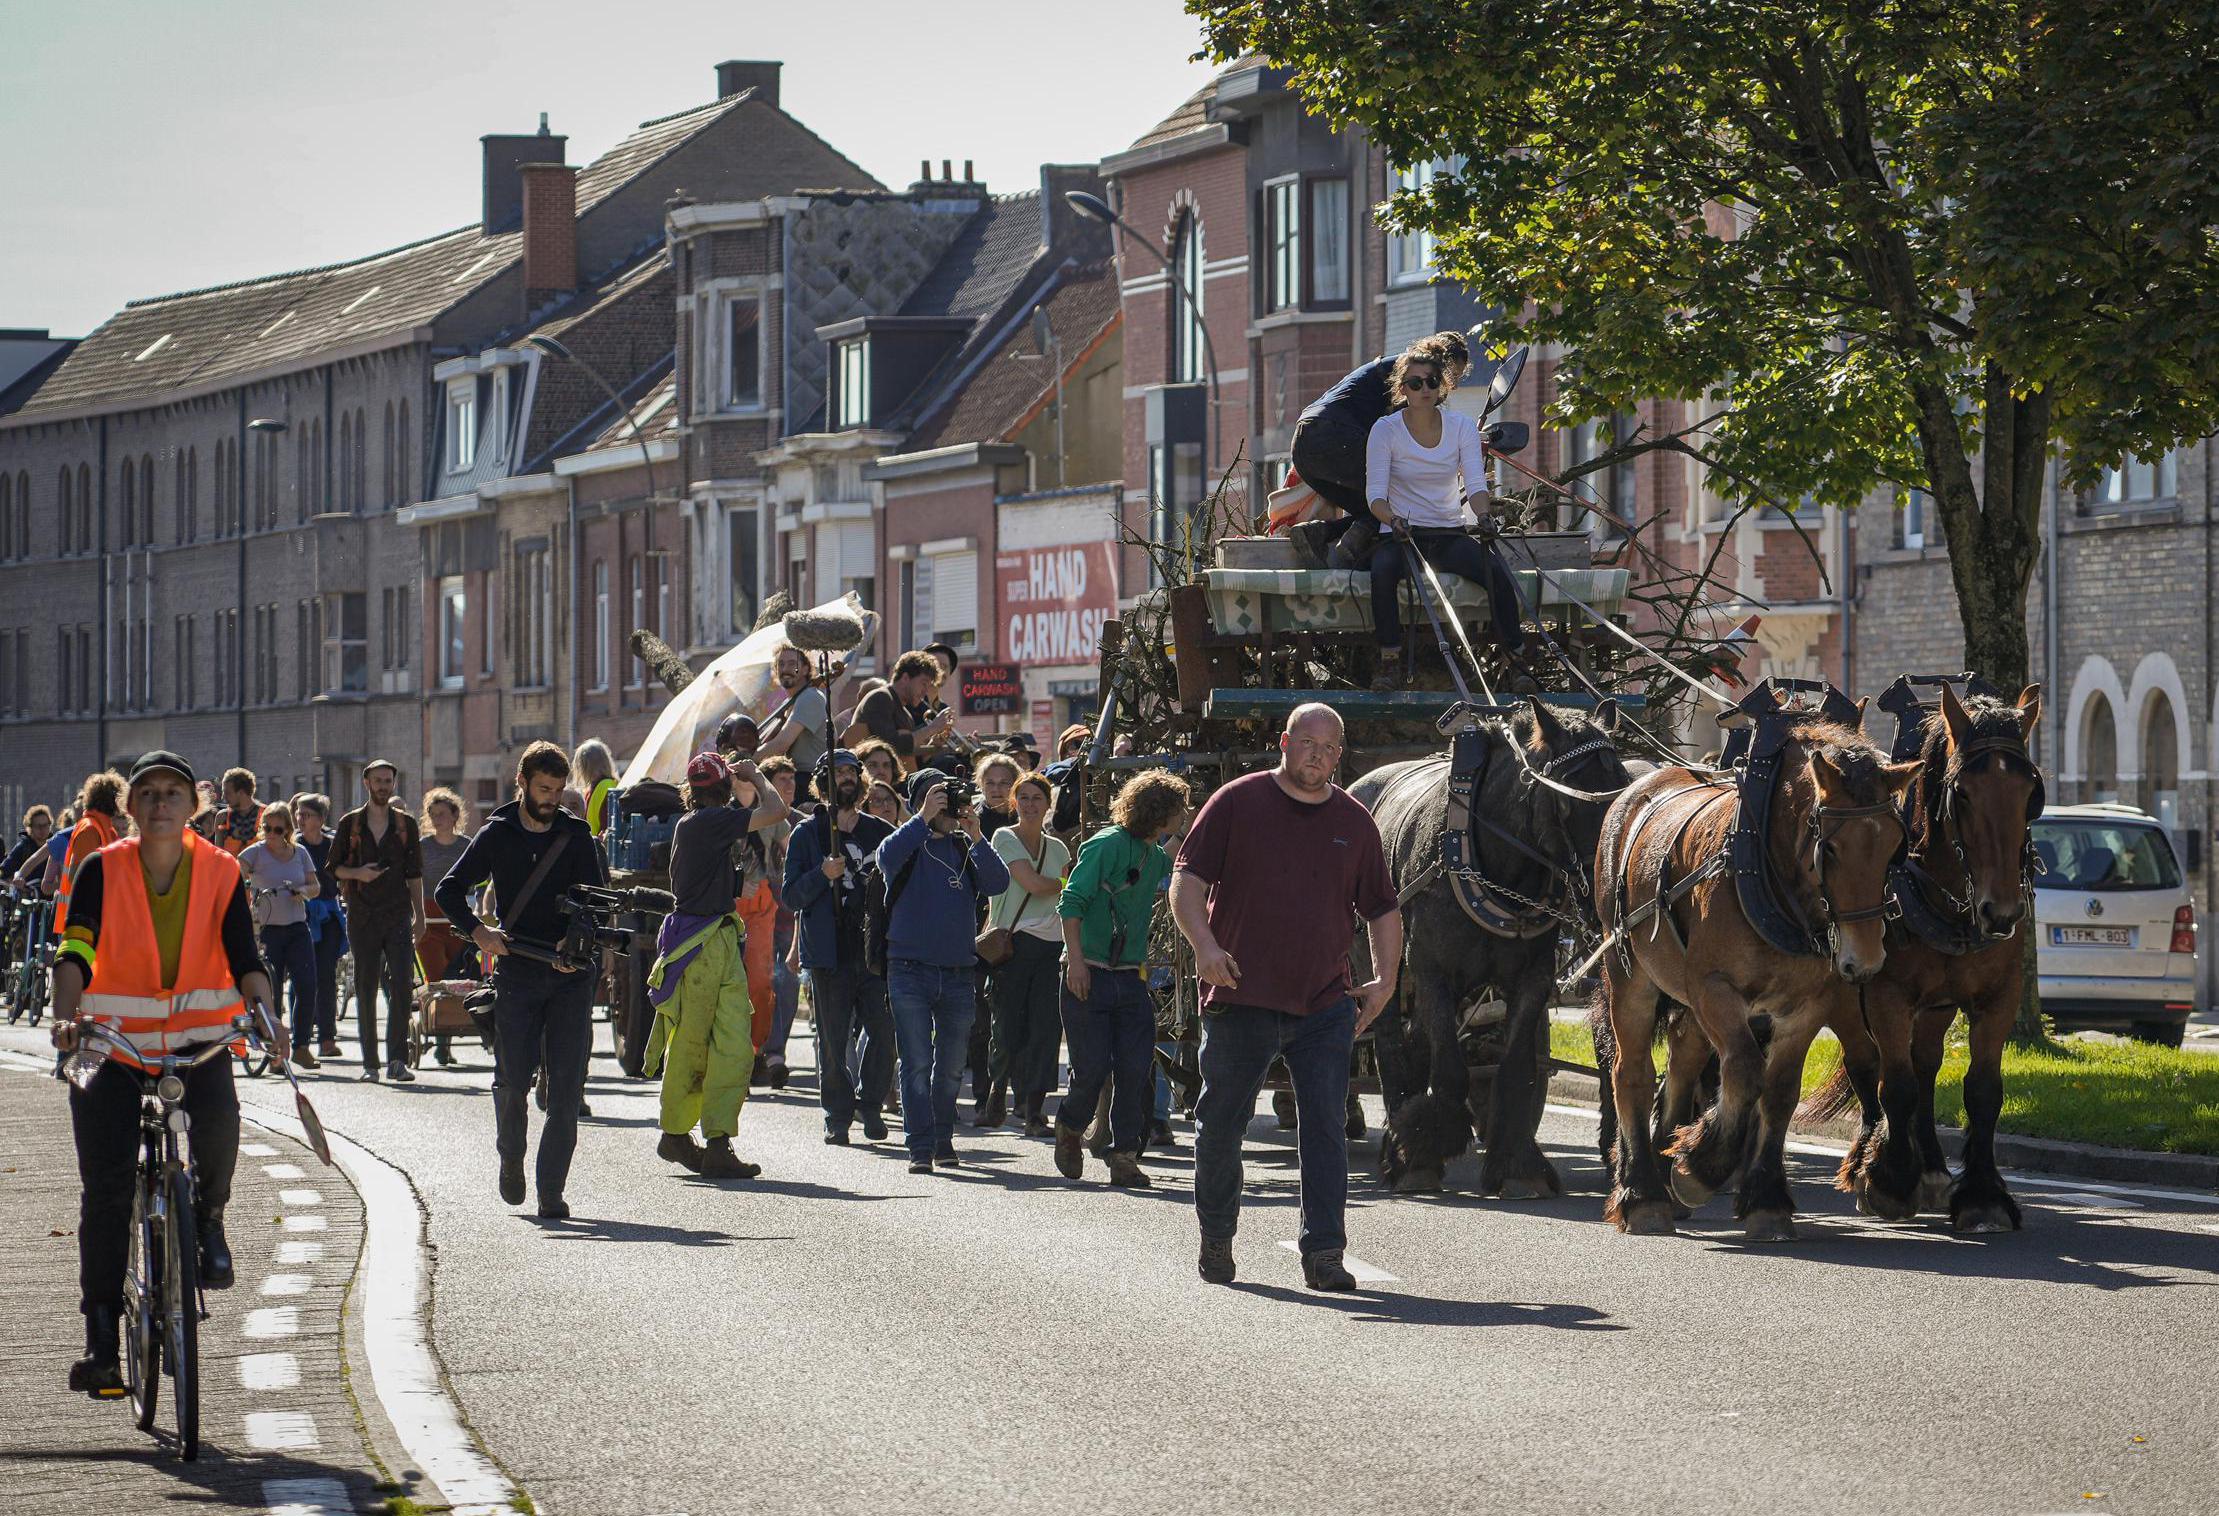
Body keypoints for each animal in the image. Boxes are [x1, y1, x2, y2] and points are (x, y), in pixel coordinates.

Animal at [1819, 688, 2041, 1234]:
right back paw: (1869, 1162)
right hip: (1844, 996)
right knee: (1867, 1065)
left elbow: (1982, 1090)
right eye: (1962, 793)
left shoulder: (1999, 997)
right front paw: (1890, 1180)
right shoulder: (1885, 995)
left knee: (1923, 1064)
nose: (2002, 912)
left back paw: (1934, 1169)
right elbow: (1894, 1084)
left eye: (2031, 792)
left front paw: (1982, 1194)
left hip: (1936, 1007)